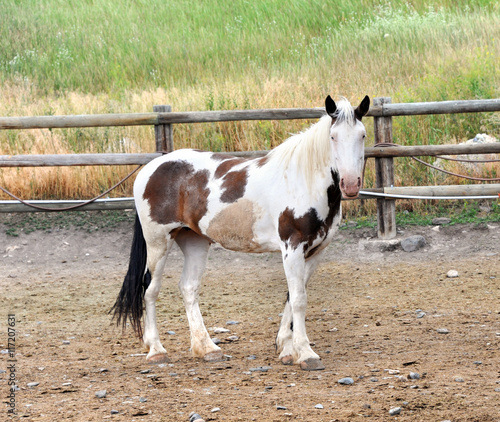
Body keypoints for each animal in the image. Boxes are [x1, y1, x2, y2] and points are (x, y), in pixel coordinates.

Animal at [114, 95, 372, 370]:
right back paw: (156, 350)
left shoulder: (315, 252)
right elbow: (299, 299)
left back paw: (207, 348)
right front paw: (305, 353)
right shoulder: (292, 247)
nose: (351, 184)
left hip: (194, 241)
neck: (303, 182)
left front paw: (286, 349)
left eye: (362, 135)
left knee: (189, 288)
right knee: (150, 288)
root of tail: (149, 168)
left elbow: (291, 296)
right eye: (333, 136)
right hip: (158, 241)